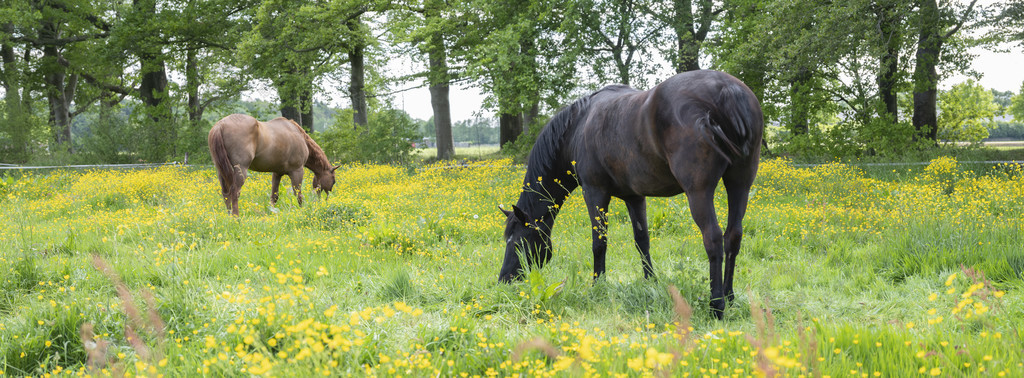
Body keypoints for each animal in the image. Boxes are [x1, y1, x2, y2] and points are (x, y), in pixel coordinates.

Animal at [205, 114, 337, 215]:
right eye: (333, 181)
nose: (326, 199)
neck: (298, 135)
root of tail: (220, 125)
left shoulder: (277, 173)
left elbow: (274, 196)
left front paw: (272, 212)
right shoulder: (297, 171)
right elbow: (298, 195)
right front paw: (301, 211)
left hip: (221, 171)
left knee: (226, 193)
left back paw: (229, 215)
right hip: (240, 170)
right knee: (234, 192)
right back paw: (235, 217)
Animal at [495, 70, 761, 317]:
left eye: (516, 241)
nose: (503, 280)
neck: (578, 126)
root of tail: (726, 89)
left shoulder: (595, 192)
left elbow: (599, 243)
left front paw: (598, 286)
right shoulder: (635, 197)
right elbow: (642, 241)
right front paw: (650, 282)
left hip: (699, 192)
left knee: (713, 239)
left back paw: (717, 305)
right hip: (739, 185)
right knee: (733, 236)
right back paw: (729, 295)